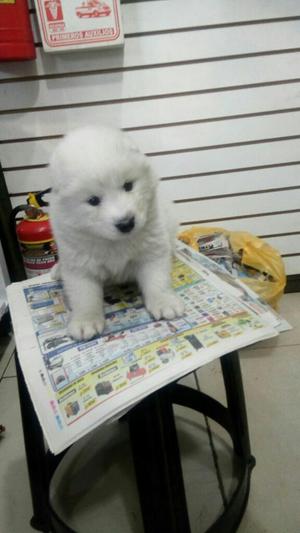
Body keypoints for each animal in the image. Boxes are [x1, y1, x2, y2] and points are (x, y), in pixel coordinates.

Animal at [49, 125, 183, 340]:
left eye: (128, 186)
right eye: (93, 200)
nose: (126, 223)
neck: (113, 241)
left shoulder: (151, 249)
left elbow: (157, 279)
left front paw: (165, 302)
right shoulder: (79, 264)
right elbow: (84, 296)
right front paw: (85, 321)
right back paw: (58, 270)